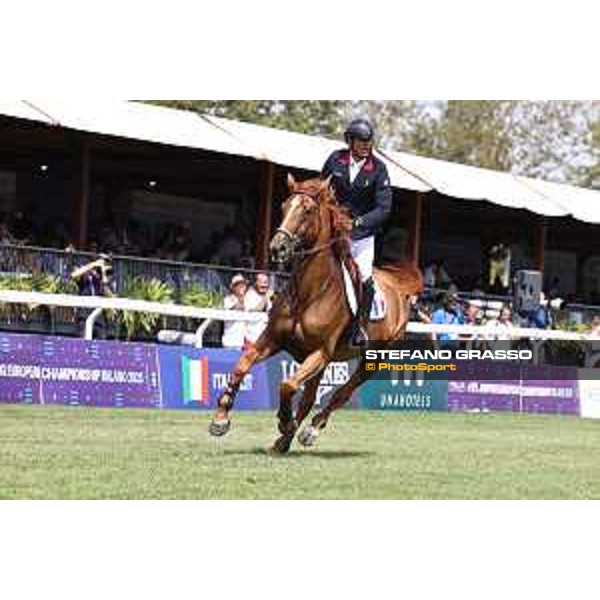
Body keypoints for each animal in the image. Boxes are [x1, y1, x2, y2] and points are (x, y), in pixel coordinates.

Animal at [210, 176, 422, 452]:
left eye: (308, 210)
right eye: (284, 206)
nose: (277, 248)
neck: (308, 294)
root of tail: (398, 286)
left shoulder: (320, 352)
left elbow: (287, 384)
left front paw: (285, 421)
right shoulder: (273, 340)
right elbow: (242, 366)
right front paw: (221, 418)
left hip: (373, 358)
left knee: (343, 392)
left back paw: (308, 430)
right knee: (310, 397)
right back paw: (284, 440)